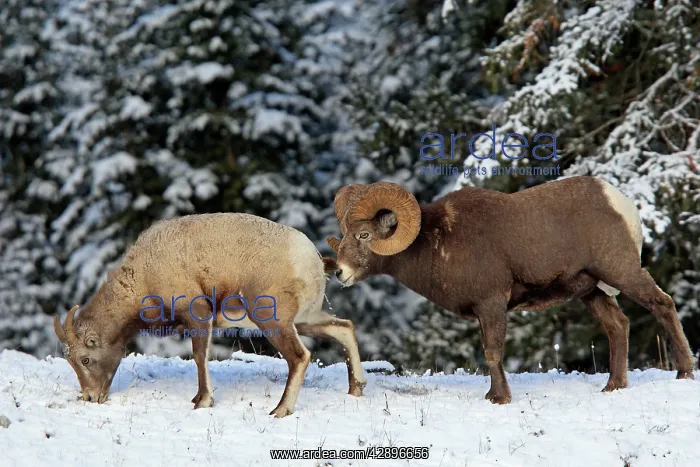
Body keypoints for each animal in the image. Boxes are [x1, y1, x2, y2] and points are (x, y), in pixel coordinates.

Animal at [53, 212, 367, 418]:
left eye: (85, 358)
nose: (91, 397)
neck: (144, 277)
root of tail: (312, 259)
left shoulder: (199, 316)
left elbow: (199, 357)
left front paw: (202, 402)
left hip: (274, 321)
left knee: (300, 356)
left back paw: (280, 410)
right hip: (304, 320)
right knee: (344, 327)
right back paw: (356, 389)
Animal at [325, 176, 695, 403]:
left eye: (363, 235)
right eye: (343, 236)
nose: (340, 272)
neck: (437, 245)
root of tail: (620, 203)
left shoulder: (492, 304)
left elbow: (493, 352)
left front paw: (499, 398)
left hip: (621, 272)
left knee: (662, 304)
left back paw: (684, 373)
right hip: (592, 292)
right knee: (619, 326)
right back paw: (613, 386)